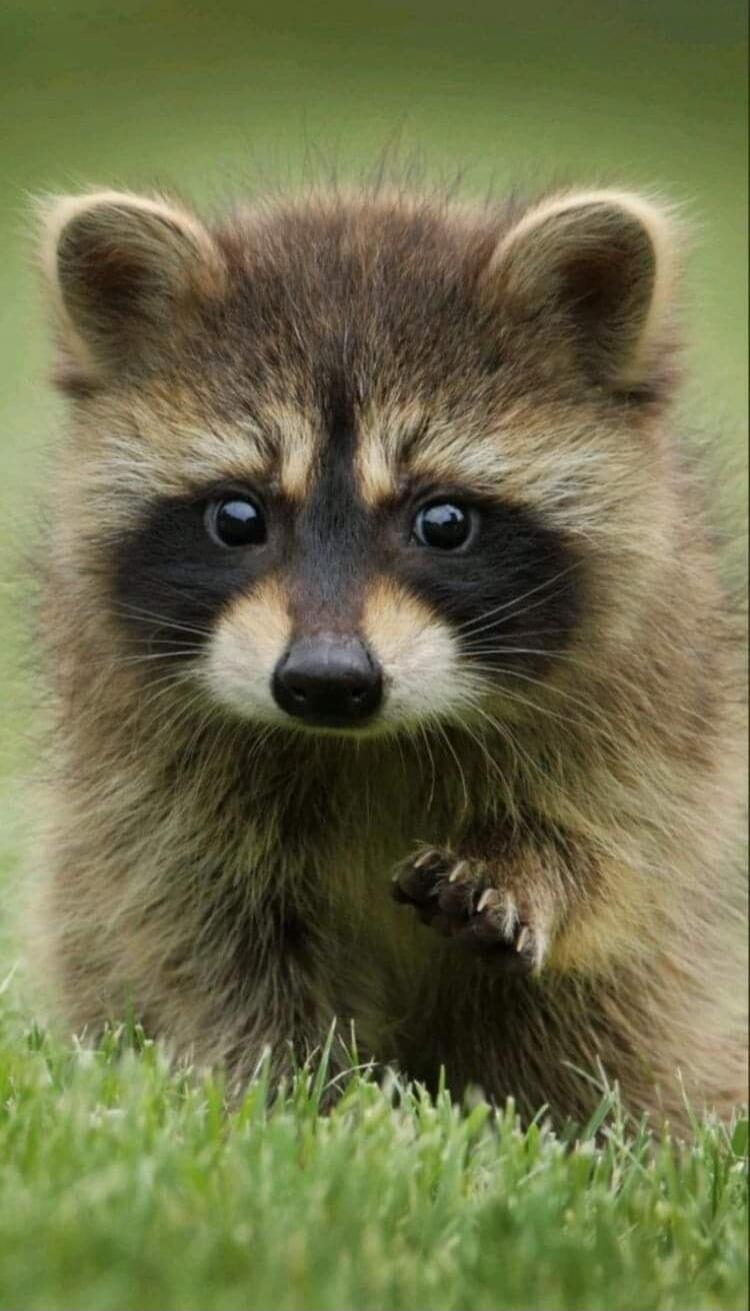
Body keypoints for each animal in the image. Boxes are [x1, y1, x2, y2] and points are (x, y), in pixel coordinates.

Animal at [31, 181, 747, 1128]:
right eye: (237, 517)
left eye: (443, 521)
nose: (326, 682)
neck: (363, 743)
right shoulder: (146, 773)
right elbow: (207, 932)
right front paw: (295, 1094)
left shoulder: (654, 695)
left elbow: (623, 848)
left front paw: (530, 865)